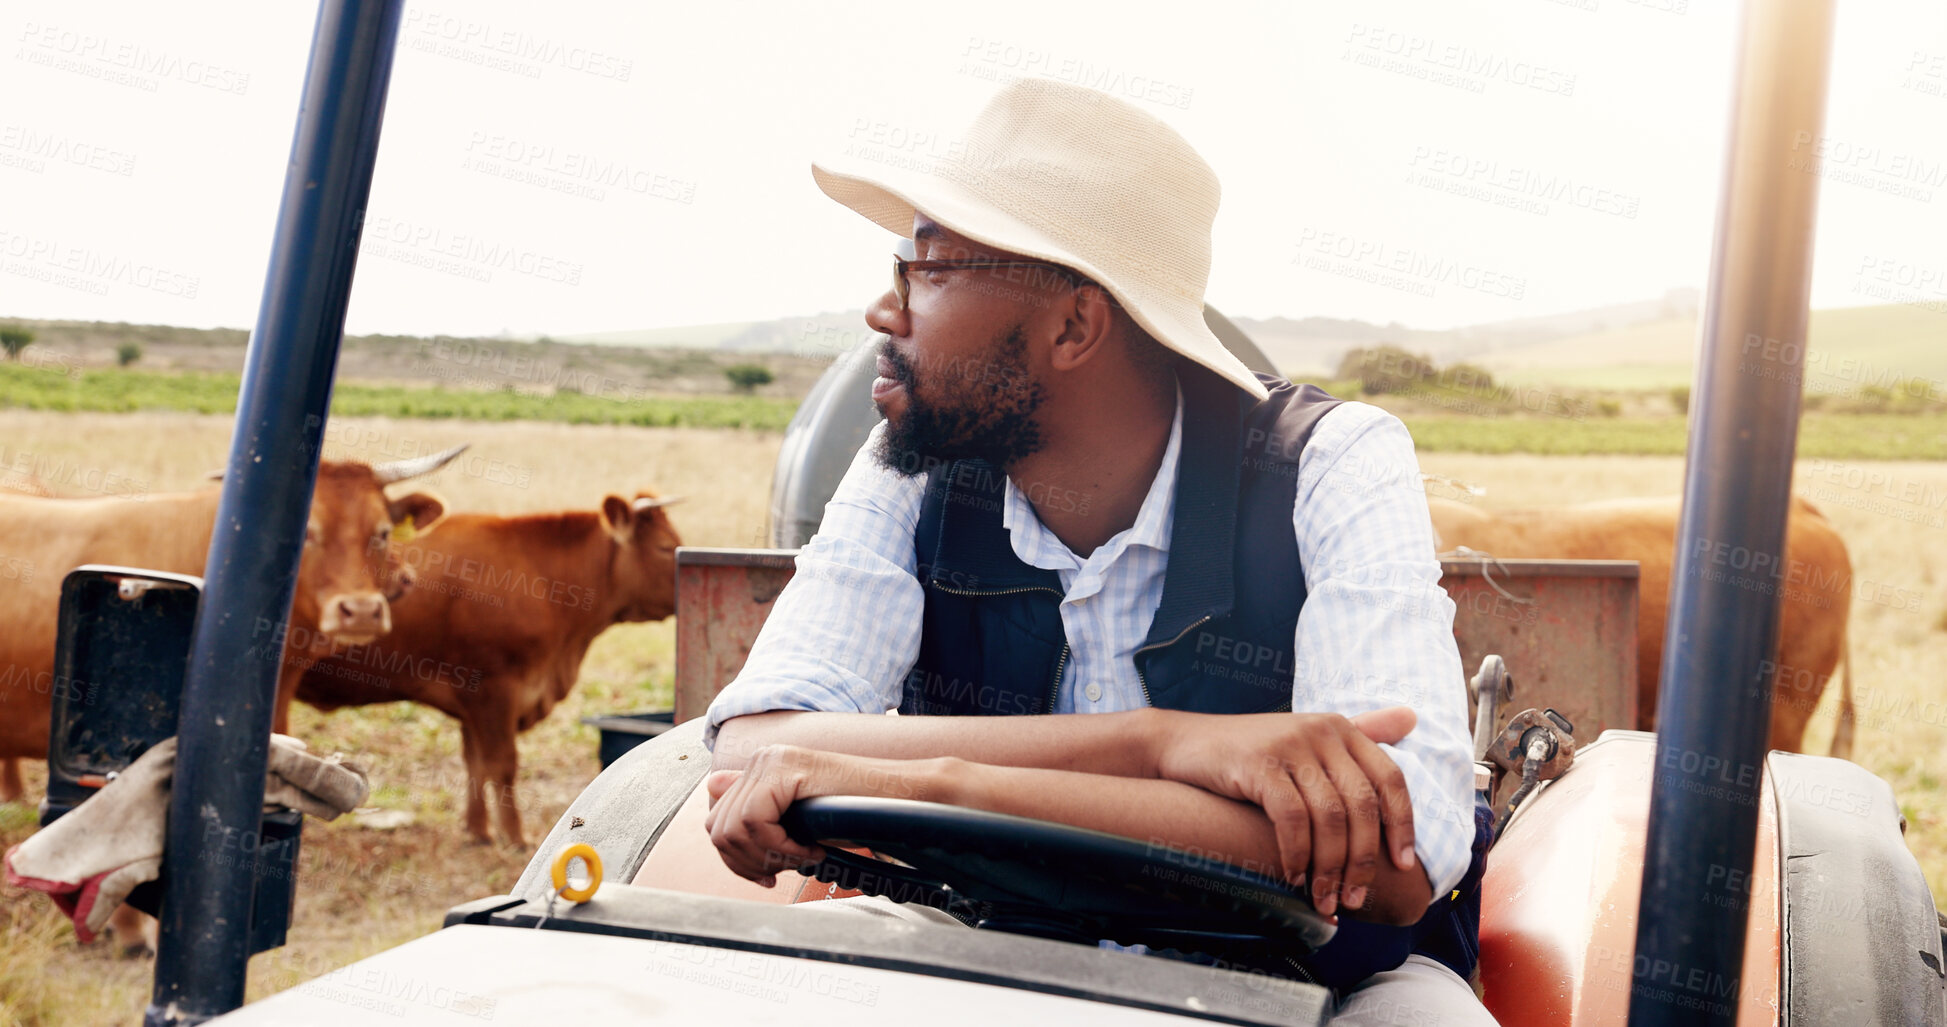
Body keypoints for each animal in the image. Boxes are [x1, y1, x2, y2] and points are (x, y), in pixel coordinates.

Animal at [292, 494, 681, 849]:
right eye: (665, 547)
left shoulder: (470, 699)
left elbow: (475, 763)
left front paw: (478, 830)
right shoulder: (494, 688)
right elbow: (502, 763)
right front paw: (515, 836)